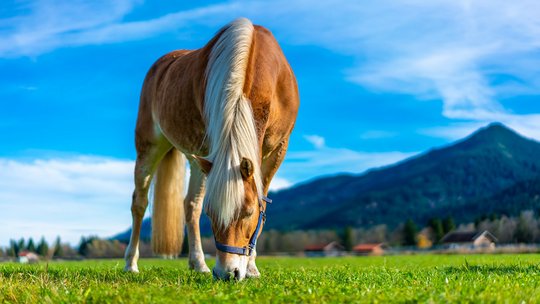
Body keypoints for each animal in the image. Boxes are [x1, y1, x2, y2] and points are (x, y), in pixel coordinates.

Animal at [123, 18, 300, 280]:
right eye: (212, 214)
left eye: (248, 213)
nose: (227, 273)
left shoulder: (278, 149)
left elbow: (262, 204)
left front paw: (252, 267)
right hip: (149, 147)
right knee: (140, 203)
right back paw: (131, 263)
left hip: (198, 160)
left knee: (190, 205)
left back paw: (198, 263)